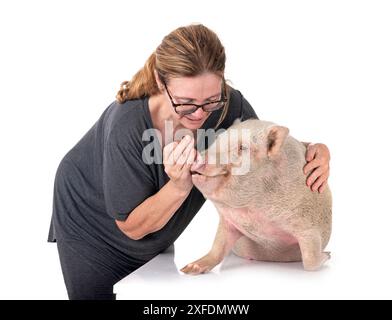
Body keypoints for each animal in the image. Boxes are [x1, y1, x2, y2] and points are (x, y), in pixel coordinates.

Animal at [181, 119, 330, 274]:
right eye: (217, 140)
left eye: (242, 147)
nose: (197, 155)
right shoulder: (228, 221)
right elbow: (218, 247)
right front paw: (188, 269)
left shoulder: (309, 226)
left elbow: (310, 262)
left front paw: (328, 255)